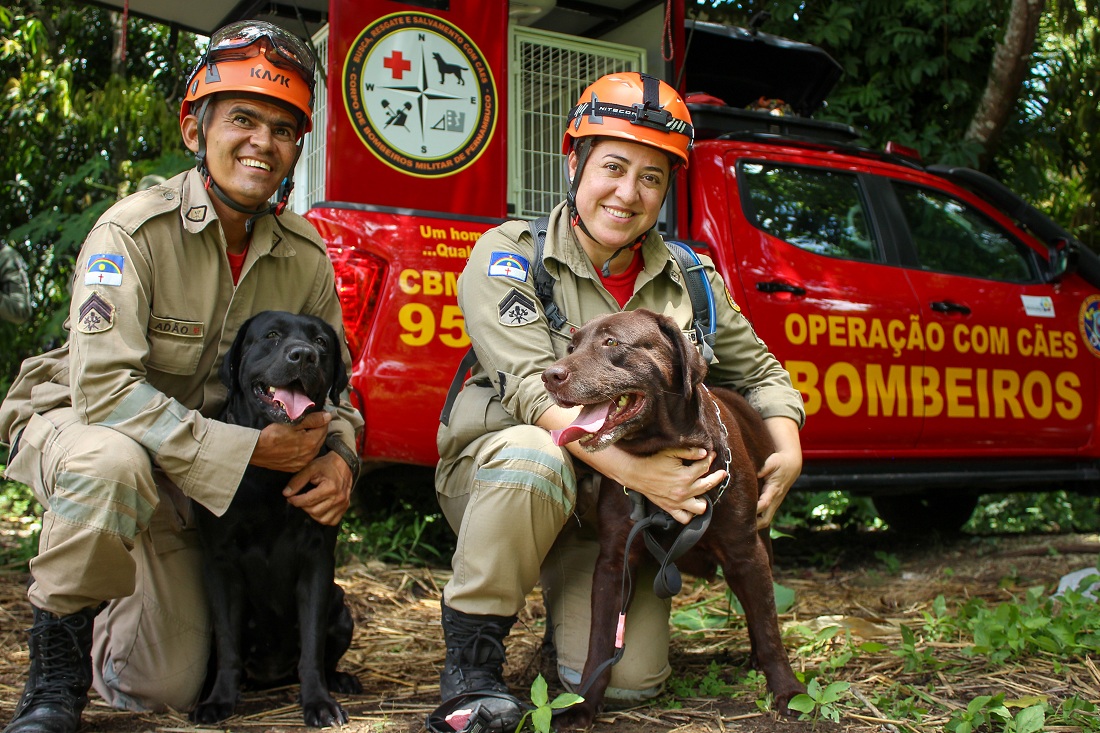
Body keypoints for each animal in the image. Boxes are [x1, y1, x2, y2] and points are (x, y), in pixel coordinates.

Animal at [190, 308, 360, 726]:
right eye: (271, 336)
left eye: (320, 342)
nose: (304, 356)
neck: (269, 476)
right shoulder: (220, 563)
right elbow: (228, 645)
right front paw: (218, 701)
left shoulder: (317, 560)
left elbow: (312, 648)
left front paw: (319, 702)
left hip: (341, 607)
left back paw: (341, 680)